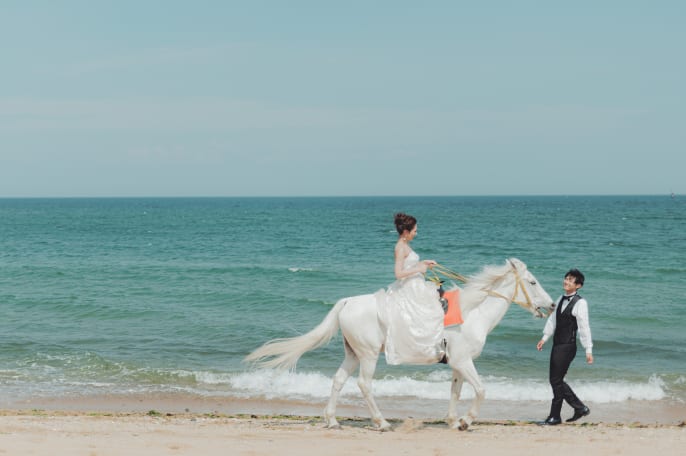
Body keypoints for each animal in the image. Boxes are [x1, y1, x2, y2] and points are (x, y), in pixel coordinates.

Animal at [245, 258, 556, 430]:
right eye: (532, 281)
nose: (552, 305)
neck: (472, 312)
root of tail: (347, 302)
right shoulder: (463, 361)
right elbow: (480, 390)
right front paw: (466, 422)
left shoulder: (458, 364)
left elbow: (456, 392)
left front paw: (453, 420)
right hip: (369, 355)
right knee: (364, 384)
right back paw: (381, 423)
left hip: (353, 353)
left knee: (338, 380)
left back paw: (332, 420)